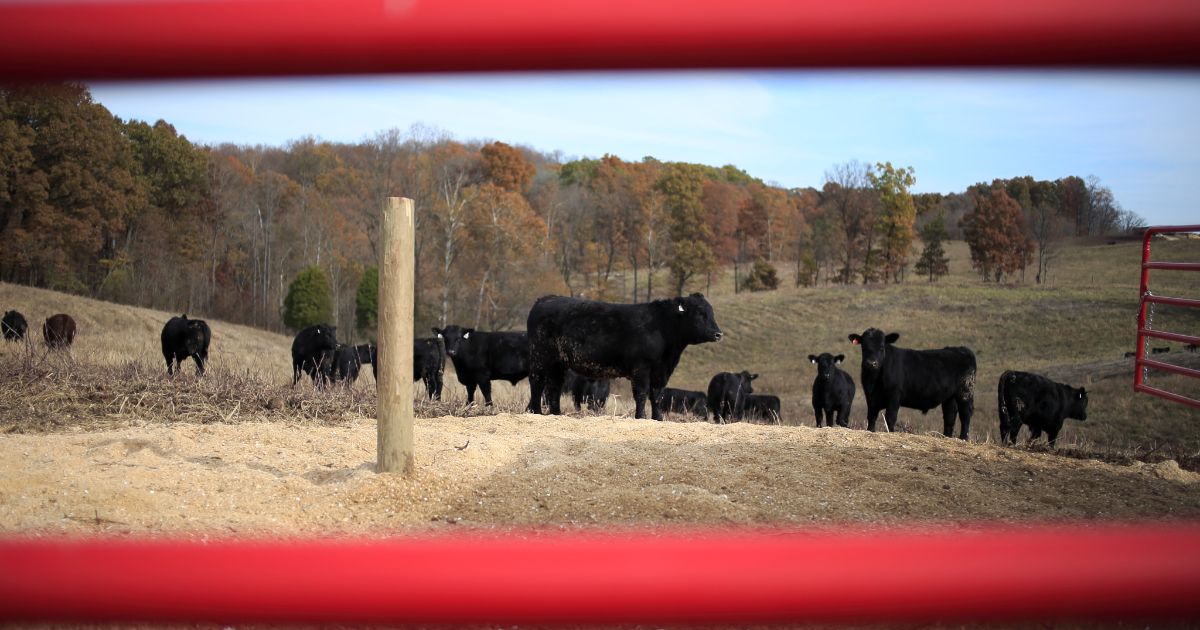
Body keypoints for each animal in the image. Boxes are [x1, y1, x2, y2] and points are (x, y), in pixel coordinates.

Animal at [528, 292, 720, 420]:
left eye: (712, 312)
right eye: (699, 313)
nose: (718, 334)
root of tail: (544, 299)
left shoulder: (661, 370)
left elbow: (657, 395)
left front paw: (658, 418)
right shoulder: (641, 368)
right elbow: (641, 393)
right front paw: (641, 416)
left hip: (558, 362)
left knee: (554, 386)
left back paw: (556, 413)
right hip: (540, 356)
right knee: (537, 382)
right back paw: (536, 411)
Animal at [844, 328, 974, 436]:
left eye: (881, 347)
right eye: (864, 347)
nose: (871, 363)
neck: (874, 380)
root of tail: (962, 349)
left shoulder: (894, 396)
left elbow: (890, 417)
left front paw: (890, 432)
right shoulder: (870, 397)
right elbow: (871, 417)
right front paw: (870, 430)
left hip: (966, 392)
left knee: (965, 415)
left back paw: (963, 437)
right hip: (950, 397)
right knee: (949, 416)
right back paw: (946, 436)